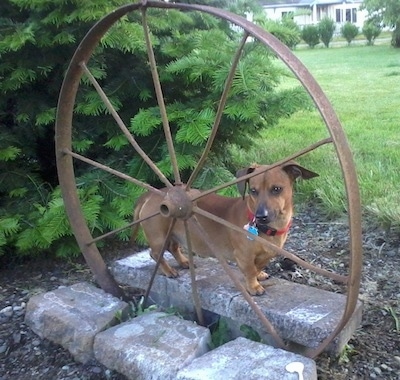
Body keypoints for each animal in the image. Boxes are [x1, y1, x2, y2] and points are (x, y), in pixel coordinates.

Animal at [133, 162, 318, 296]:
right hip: (158, 236)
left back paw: (184, 262)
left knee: (173, 248)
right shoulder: (243, 256)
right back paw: (169, 270)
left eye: (277, 189)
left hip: (174, 233)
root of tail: (152, 194)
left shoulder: (267, 254)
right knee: (155, 254)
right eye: (253, 191)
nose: (261, 216)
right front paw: (254, 287)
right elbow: (250, 270)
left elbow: (258, 266)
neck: (268, 229)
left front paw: (259, 276)